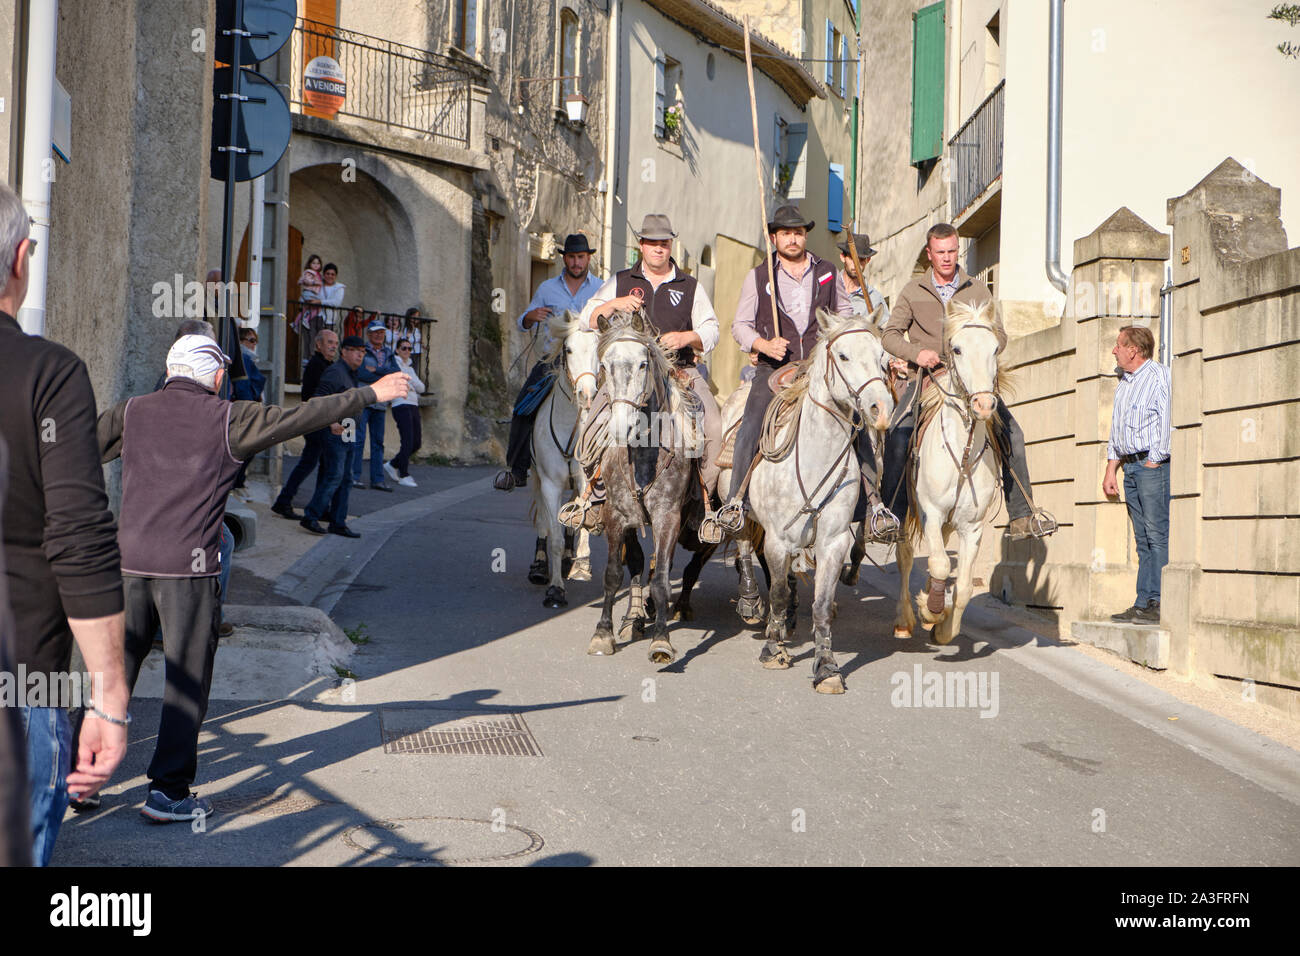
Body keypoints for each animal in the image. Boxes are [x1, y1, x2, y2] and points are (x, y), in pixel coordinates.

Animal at [743, 310, 894, 691]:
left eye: (882, 357)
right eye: (843, 356)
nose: (881, 408)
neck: (815, 457)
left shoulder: (834, 542)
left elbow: (822, 604)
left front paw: (826, 666)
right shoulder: (777, 540)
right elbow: (778, 593)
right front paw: (774, 649)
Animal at [894, 300, 1003, 642]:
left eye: (995, 348)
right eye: (957, 348)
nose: (983, 405)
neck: (962, 453)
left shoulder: (972, 526)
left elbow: (965, 586)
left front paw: (944, 628)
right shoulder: (930, 511)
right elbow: (941, 564)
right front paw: (930, 610)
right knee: (905, 555)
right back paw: (905, 619)